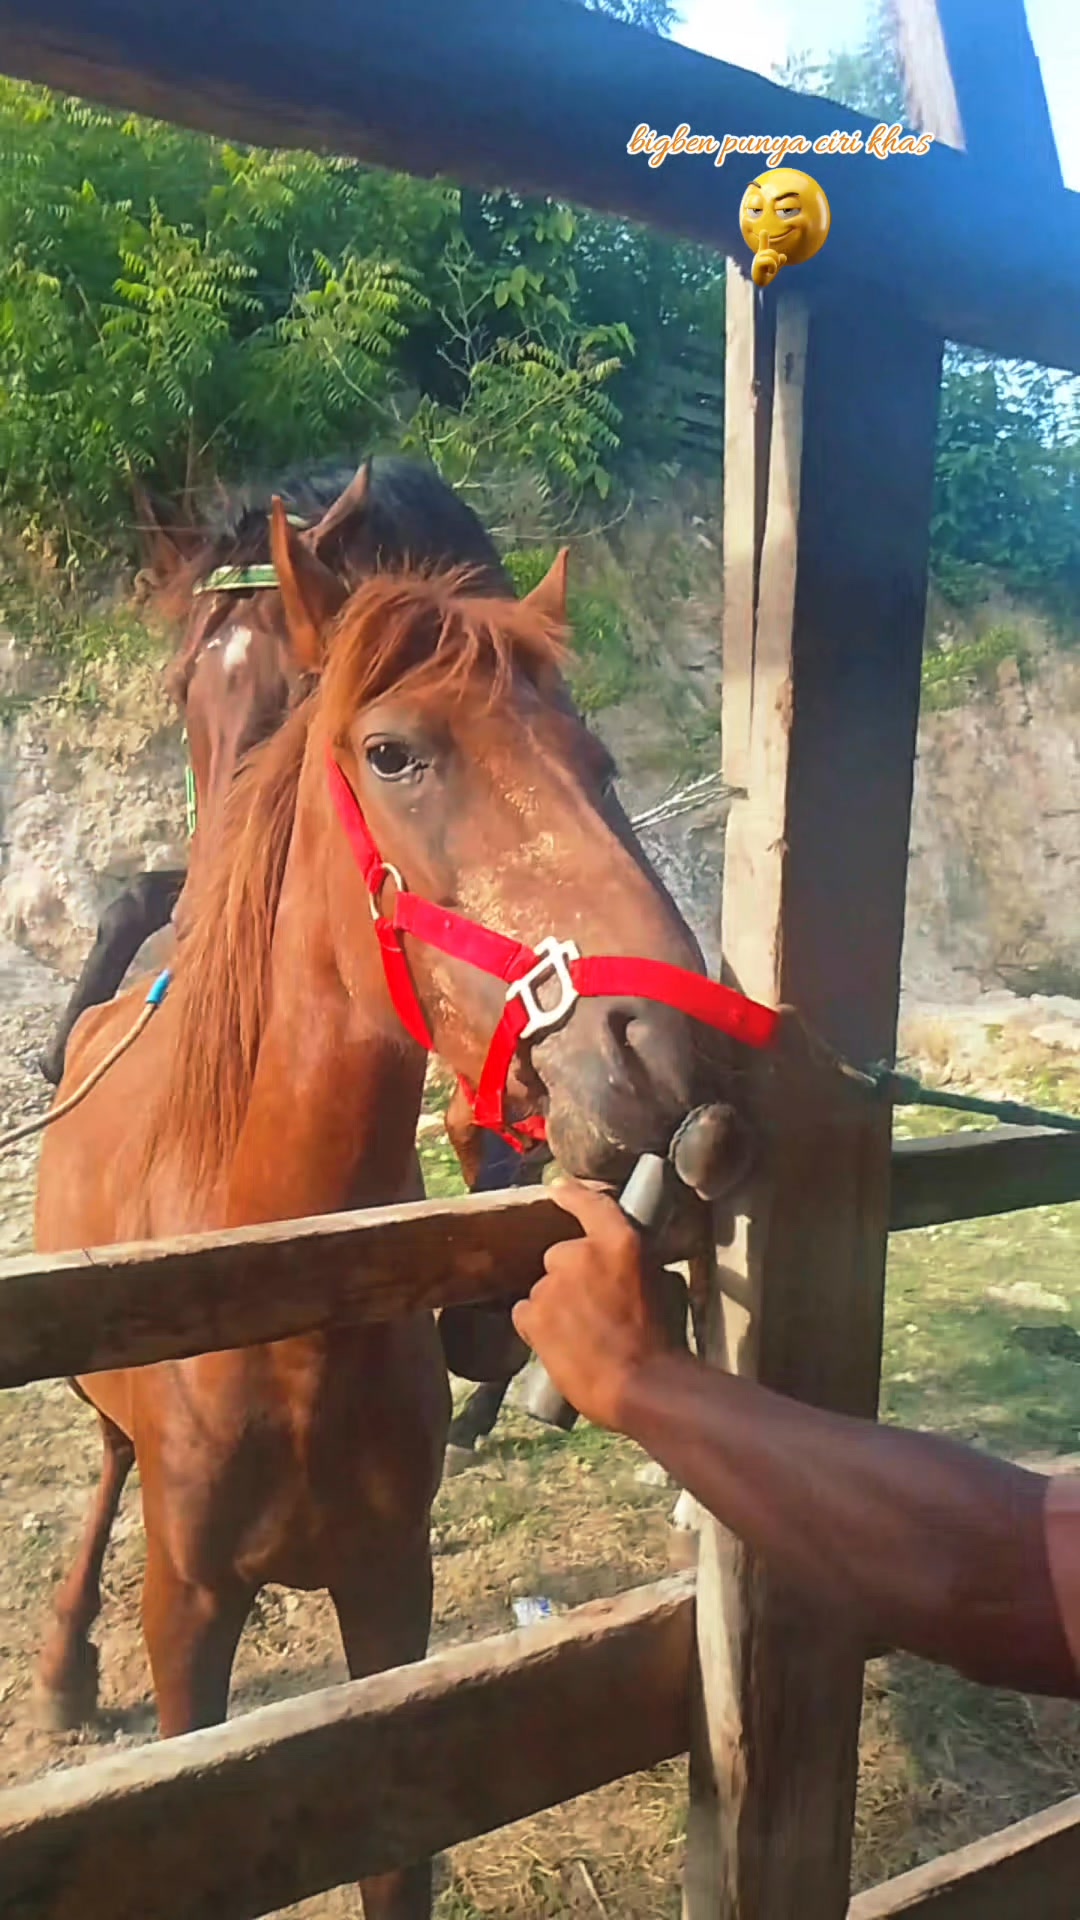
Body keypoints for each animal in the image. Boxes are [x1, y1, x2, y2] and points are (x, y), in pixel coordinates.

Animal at [34, 517, 744, 1917]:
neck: (288, 1300)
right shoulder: (189, 1625)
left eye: (598, 763)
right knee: (106, 1459)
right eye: (394, 754)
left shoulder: (391, 1600)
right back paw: (66, 1668)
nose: (668, 1045)